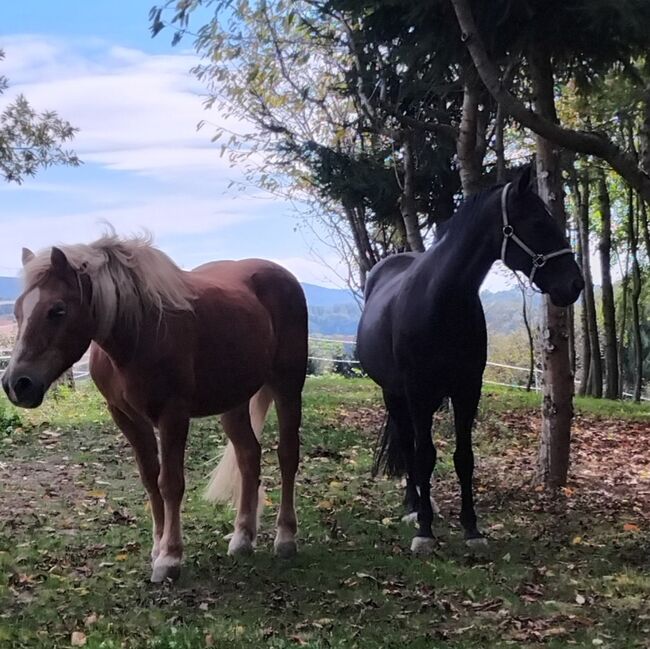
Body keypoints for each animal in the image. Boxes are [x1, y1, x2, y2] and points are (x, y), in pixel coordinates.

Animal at [1, 234, 306, 584]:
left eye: (57, 310)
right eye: (19, 311)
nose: (16, 384)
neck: (138, 333)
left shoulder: (173, 416)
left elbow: (170, 483)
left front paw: (170, 558)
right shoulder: (127, 418)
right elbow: (150, 479)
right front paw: (157, 548)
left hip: (288, 387)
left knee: (287, 456)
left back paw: (286, 537)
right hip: (234, 402)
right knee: (248, 457)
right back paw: (242, 538)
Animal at [354, 166, 584, 552]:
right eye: (538, 221)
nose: (575, 284)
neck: (441, 301)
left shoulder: (467, 391)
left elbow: (464, 458)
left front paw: (472, 528)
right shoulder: (418, 392)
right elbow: (425, 455)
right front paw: (425, 532)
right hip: (395, 394)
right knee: (408, 446)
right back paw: (414, 506)